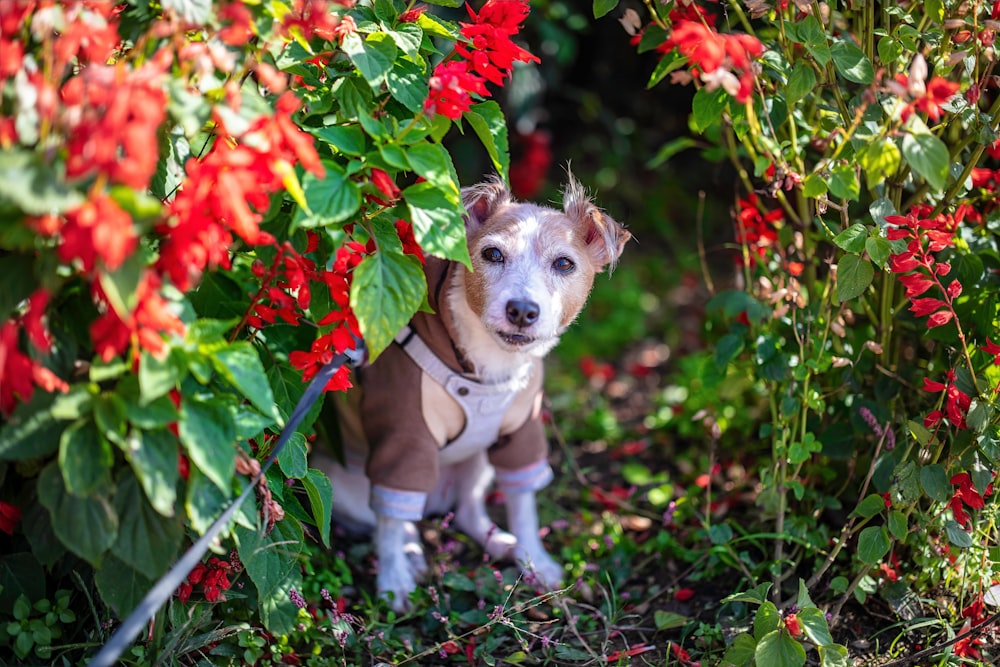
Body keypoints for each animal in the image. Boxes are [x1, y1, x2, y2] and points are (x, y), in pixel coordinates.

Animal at [312, 171, 628, 612]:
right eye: (492, 254)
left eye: (564, 263)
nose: (522, 310)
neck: (487, 367)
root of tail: (436, 500)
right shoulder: (404, 434)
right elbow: (390, 524)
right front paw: (393, 581)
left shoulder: (522, 433)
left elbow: (523, 505)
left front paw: (535, 560)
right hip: (343, 485)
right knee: (392, 515)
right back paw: (411, 555)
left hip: (478, 461)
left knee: (465, 511)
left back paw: (499, 543)